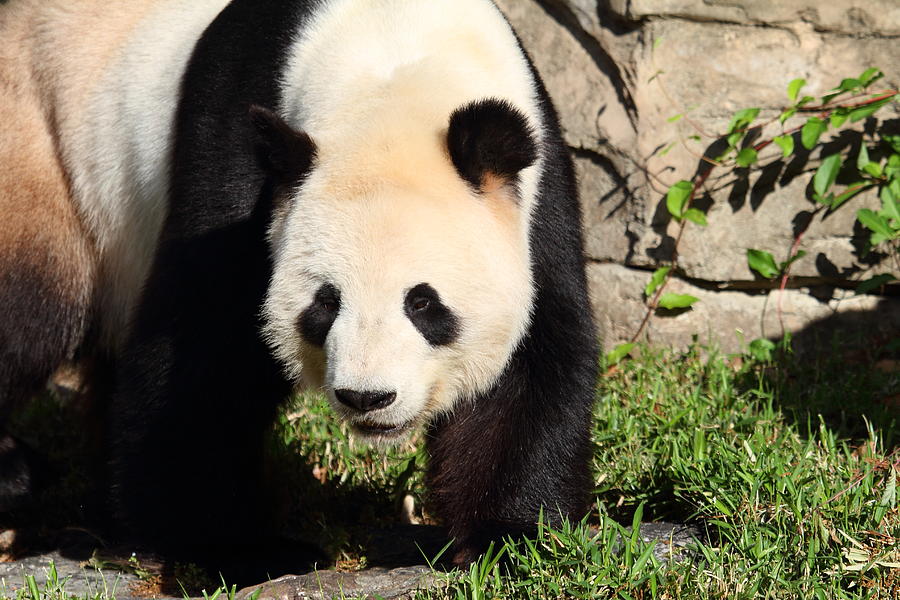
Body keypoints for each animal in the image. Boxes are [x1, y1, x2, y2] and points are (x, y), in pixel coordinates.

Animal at [0, 0, 596, 576]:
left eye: (423, 302)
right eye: (326, 302)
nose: (367, 397)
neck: (397, 74)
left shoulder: (536, 196)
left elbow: (534, 356)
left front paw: (506, 538)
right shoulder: (238, 153)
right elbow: (200, 346)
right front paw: (239, 547)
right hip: (44, 150)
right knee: (27, 314)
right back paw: (19, 473)